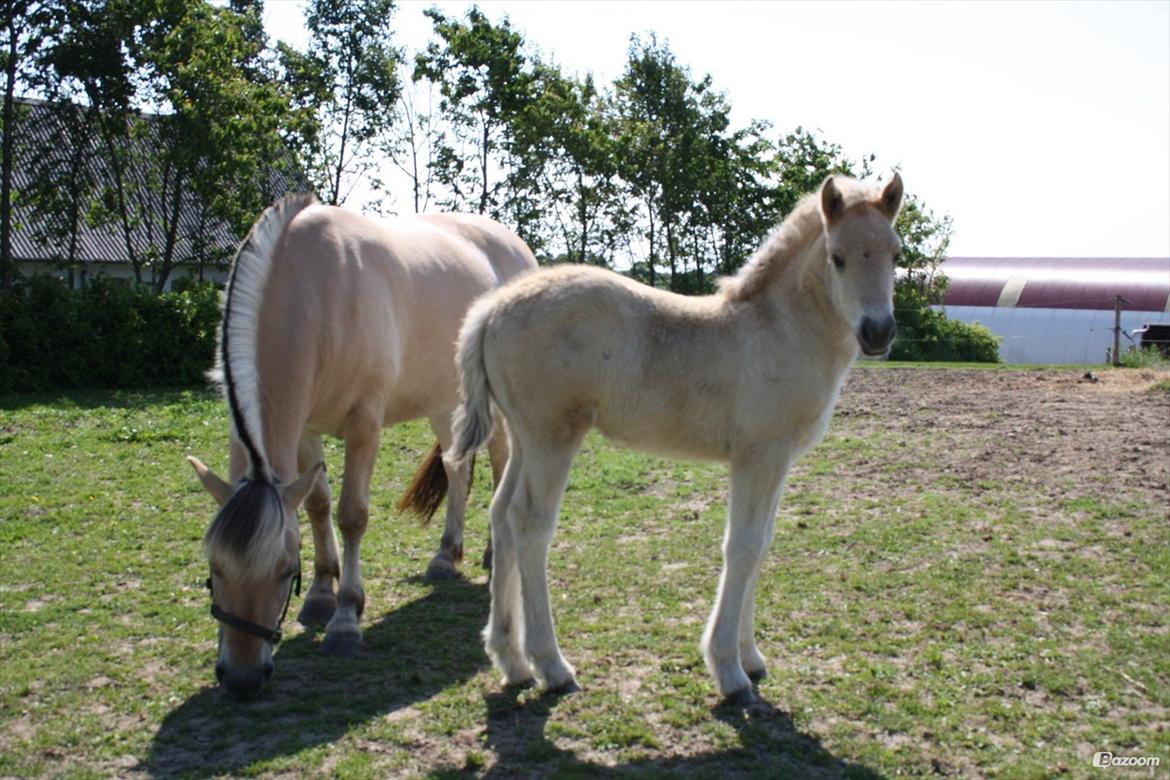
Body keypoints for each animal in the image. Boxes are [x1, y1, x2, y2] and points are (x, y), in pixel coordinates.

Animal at [189, 195, 535, 701]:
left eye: (284, 570)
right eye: (214, 568)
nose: (242, 679)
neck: (315, 291)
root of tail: (517, 248)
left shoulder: (364, 423)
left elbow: (352, 514)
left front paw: (345, 620)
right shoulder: (306, 429)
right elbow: (317, 505)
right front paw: (320, 596)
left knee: (500, 462)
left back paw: (492, 553)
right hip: (442, 400)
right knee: (456, 469)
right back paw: (444, 556)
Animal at [446, 174, 903, 706]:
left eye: (895, 254)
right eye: (838, 257)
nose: (878, 332)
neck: (781, 329)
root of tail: (491, 309)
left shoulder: (779, 459)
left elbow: (763, 542)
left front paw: (751, 657)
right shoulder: (759, 453)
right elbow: (743, 545)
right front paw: (729, 671)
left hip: (523, 437)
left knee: (501, 515)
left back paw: (511, 660)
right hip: (552, 437)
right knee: (529, 524)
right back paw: (551, 666)